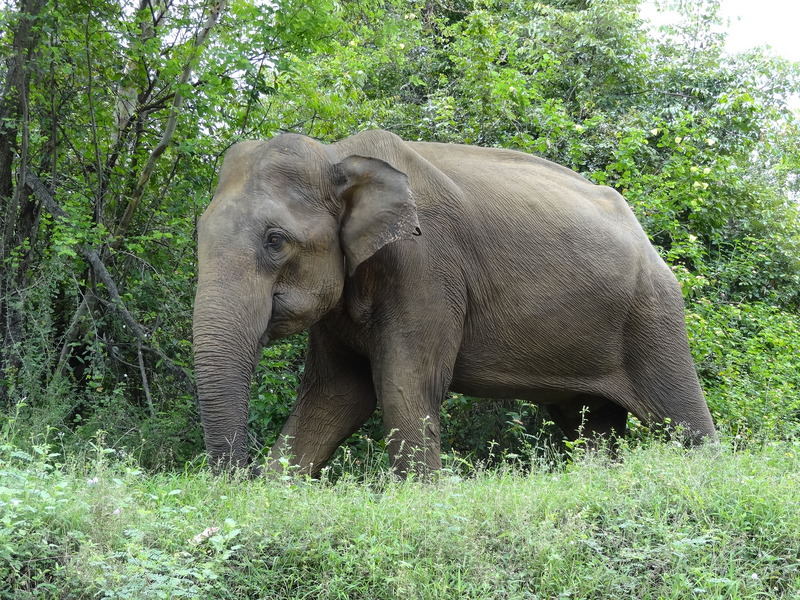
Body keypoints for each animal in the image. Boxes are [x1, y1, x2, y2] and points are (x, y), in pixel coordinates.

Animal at [194, 129, 720, 476]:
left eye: (275, 241)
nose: (236, 481)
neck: (337, 155)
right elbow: (335, 393)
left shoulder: (425, 267)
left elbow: (404, 386)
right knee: (589, 425)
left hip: (652, 312)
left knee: (683, 421)